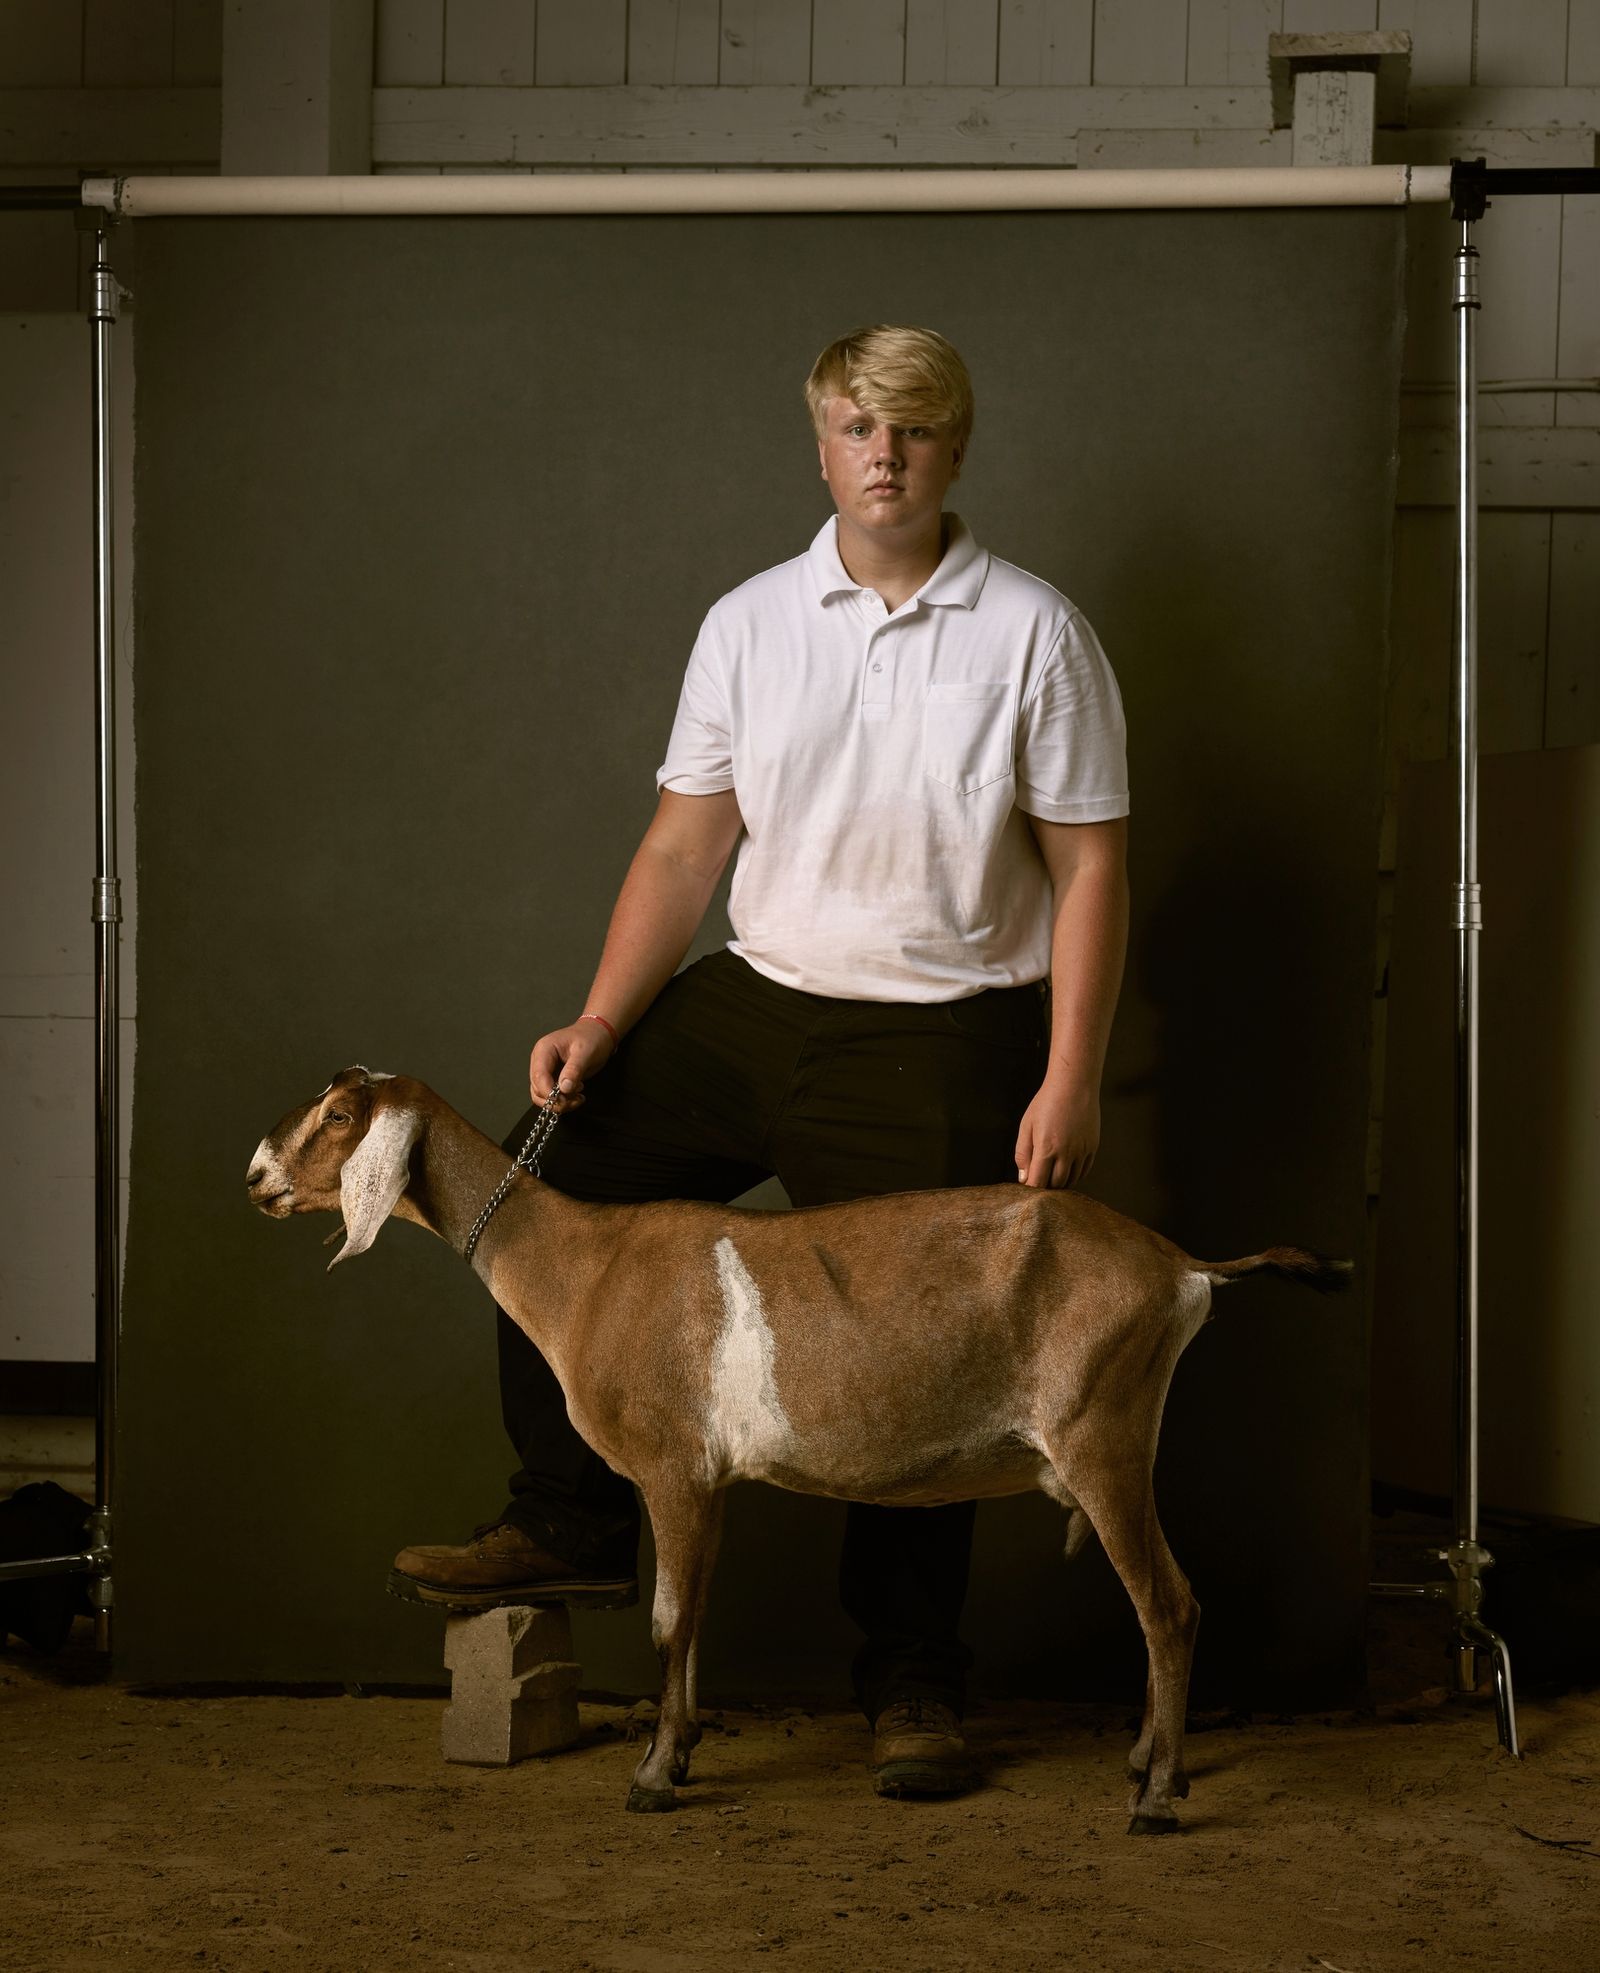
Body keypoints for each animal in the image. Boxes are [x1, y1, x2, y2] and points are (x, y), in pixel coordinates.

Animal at [250, 1065, 1349, 1830]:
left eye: (339, 1115)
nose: (257, 1176)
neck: (585, 1263)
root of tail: (1185, 1266)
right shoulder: (708, 1482)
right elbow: (692, 1612)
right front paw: (683, 1748)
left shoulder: (671, 1465)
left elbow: (666, 1621)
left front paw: (653, 1776)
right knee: (1166, 1604)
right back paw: (1146, 1759)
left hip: (1102, 1438)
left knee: (1169, 1603)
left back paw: (1156, 1794)